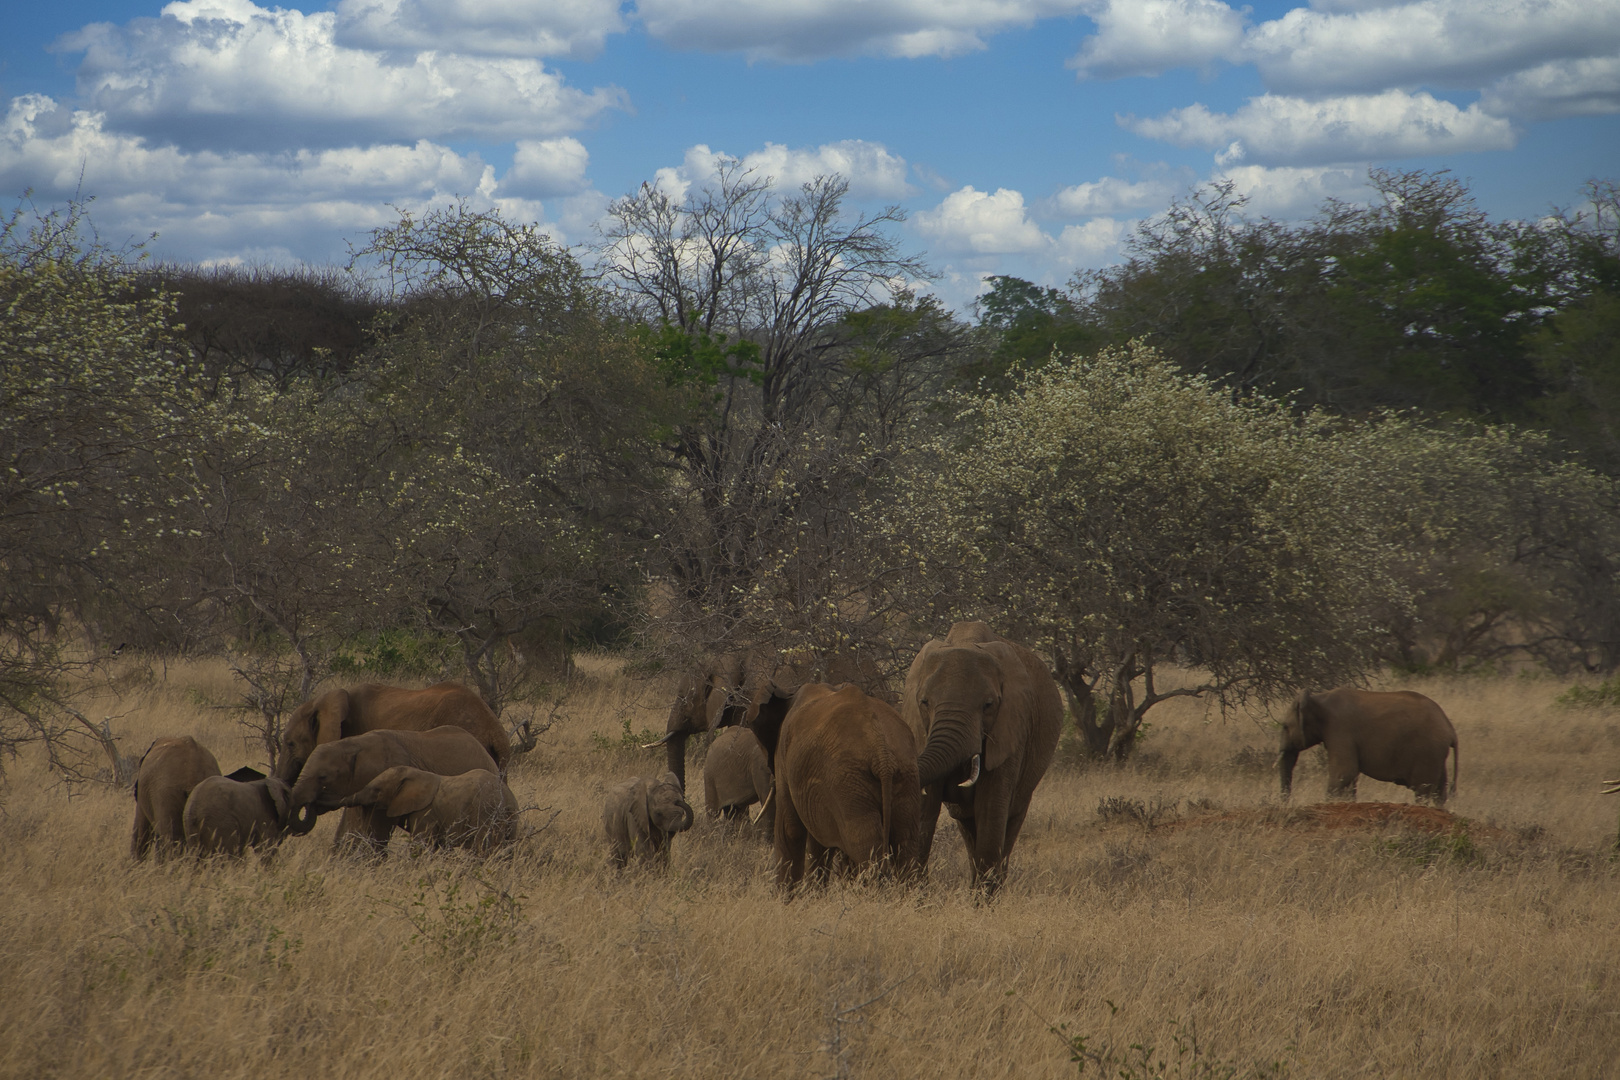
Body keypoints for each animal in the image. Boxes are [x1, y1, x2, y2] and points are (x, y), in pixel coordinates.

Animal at [335, 764, 518, 854]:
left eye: (376, 790)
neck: (417, 774)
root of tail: (508, 799)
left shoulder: (425, 813)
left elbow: (421, 844)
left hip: (486, 814)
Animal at [1283, 689, 1464, 806]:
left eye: (1284, 727)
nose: (1287, 802)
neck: (1317, 698)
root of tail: (1451, 730)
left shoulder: (1340, 729)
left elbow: (1344, 773)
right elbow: (1349, 777)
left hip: (1427, 752)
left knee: (1422, 791)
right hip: (1437, 755)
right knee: (1439, 792)